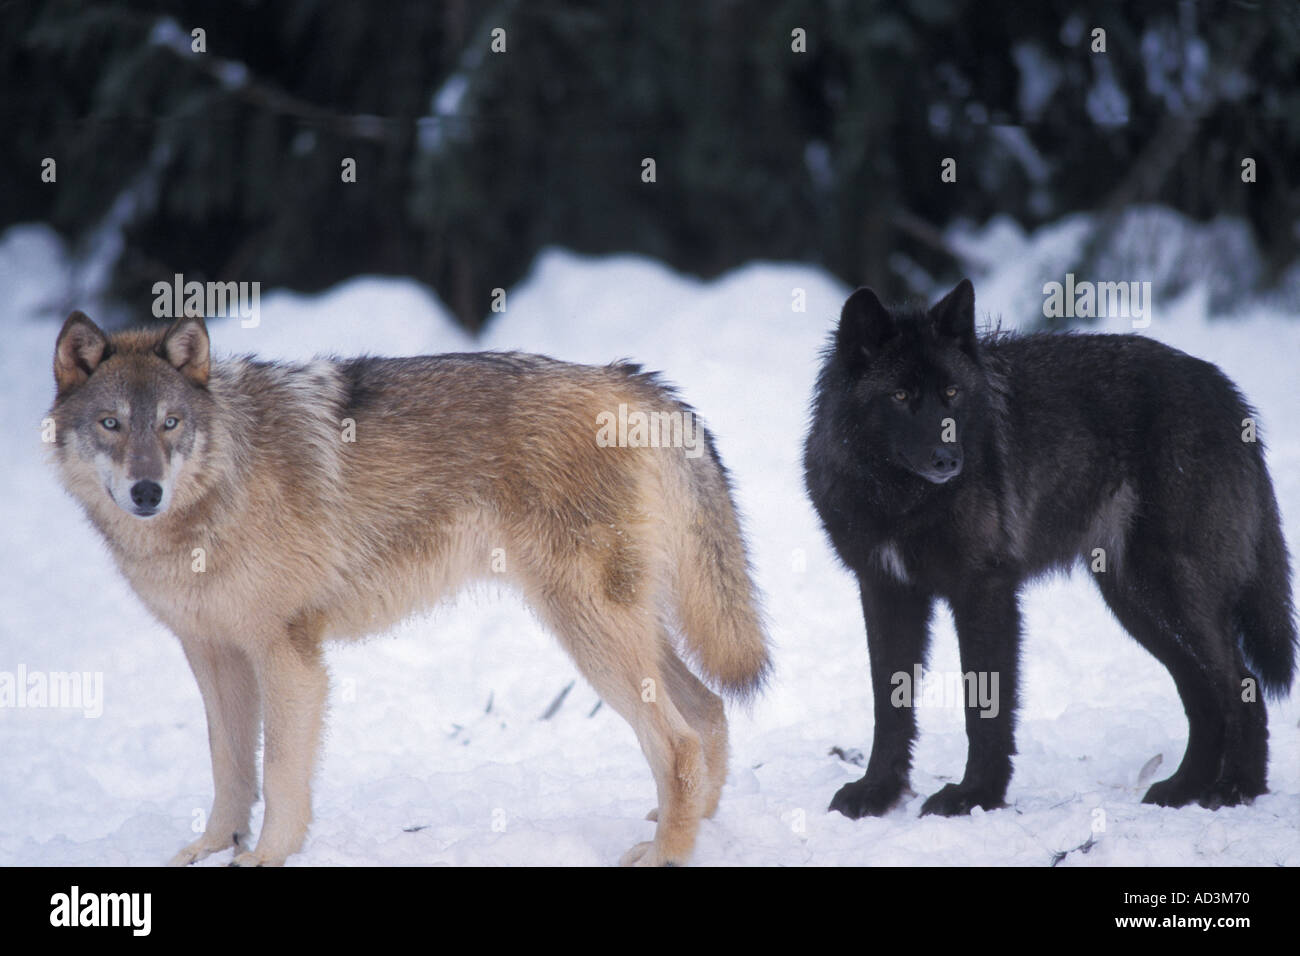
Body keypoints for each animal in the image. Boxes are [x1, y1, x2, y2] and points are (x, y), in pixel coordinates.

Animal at [48, 314, 769, 868]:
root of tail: (626, 377)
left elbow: (279, 776)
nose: (146, 492)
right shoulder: (212, 652)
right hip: (619, 629)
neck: (219, 490)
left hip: (591, 633)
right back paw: (690, 829)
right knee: (708, 712)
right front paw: (211, 849)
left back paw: (667, 854)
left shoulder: (289, 656)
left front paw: (265, 856)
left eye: (170, 423)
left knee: (678, 741)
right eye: (111, 424)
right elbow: (229, 768)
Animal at [806, 280, 1294, 816]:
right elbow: (889, 705)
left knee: (1242, 683)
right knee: (1205, 694)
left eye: (951, 393)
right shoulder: (886, 592)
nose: (949, 459)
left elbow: (985, 706)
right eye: (900, 396)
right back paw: (1183, 788)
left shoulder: (985, 592)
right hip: (1139, 605)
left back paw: (1237, 788)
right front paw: (877, 791)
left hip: (1174, 595)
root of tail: (1228, 392)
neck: (900, 499)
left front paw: (976, 795)